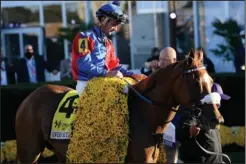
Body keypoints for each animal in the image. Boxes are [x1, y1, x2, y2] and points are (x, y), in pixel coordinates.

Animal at [14, 50, 223, 163]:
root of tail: (29, 98)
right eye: (196, 82)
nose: (217, 118)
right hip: (29, 151)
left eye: (211, 81)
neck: (144, 115)